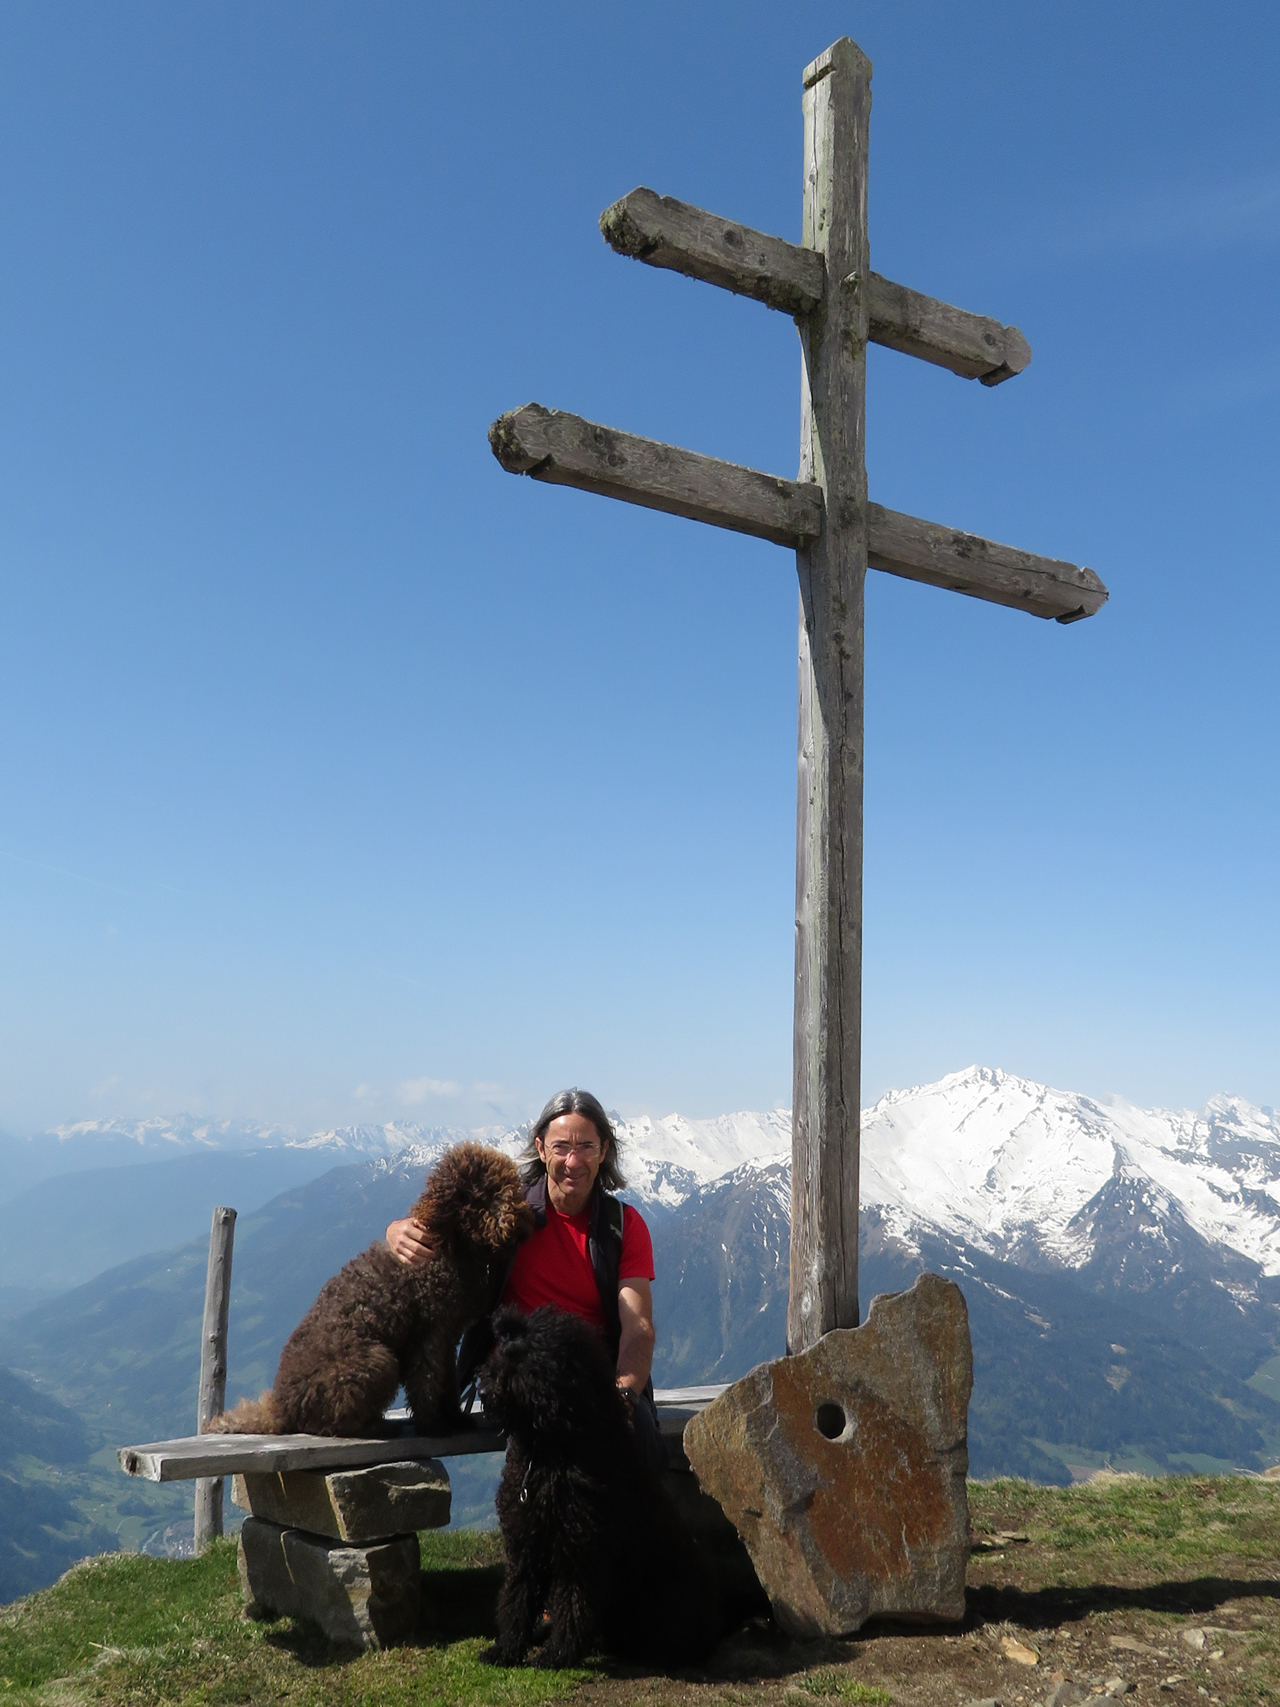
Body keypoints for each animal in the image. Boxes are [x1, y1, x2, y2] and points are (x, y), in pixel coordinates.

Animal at [210, 1140, 532, 1433]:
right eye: (482, 1195)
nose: (523, 1223)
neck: (451, 1248)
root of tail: (282, 1409)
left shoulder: (447, 1336)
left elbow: (449, 1382)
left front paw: (454, 1417)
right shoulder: (429, 1335)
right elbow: (427, 1381)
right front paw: (433, 1425)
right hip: (377, 1361)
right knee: (331, 1424)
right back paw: (374, 1427)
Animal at [477, 1304, 723, 1666]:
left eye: (521, 1358)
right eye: (501, 1352)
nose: (483, 1389)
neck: (552, 1451)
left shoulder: (580, 1548)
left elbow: (572, 1602)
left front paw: (557, 1654)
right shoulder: (526, 1542)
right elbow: (517, 1597)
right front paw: (505, 1647)